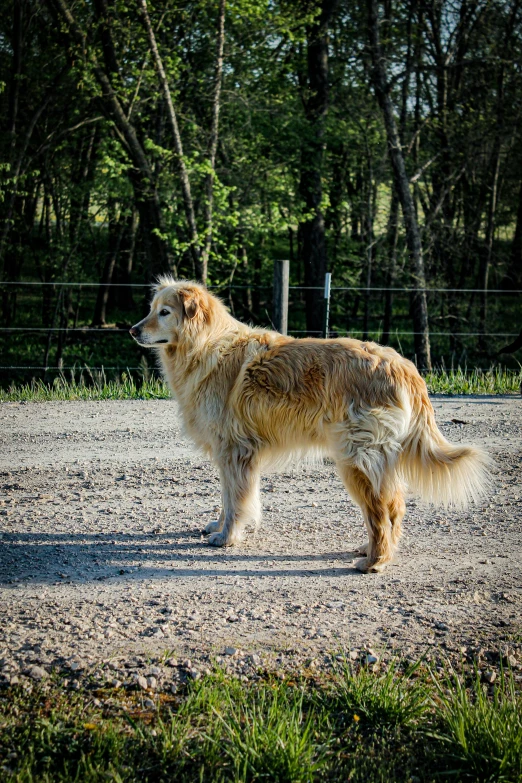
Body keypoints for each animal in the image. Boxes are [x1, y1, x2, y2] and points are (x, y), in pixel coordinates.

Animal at [129, 278, 488, 572]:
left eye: (164, 312)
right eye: (151, 309)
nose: (132, 330)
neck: (206, 344)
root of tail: (403, 365)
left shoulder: (235, 450)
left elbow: (236, 500)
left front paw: (228, 536)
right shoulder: (231, 453)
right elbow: (229, 496)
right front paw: (219, 527)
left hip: (355, 459)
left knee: (380, 510)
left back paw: (374, 560)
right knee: (394, 505)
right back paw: (373, 550)